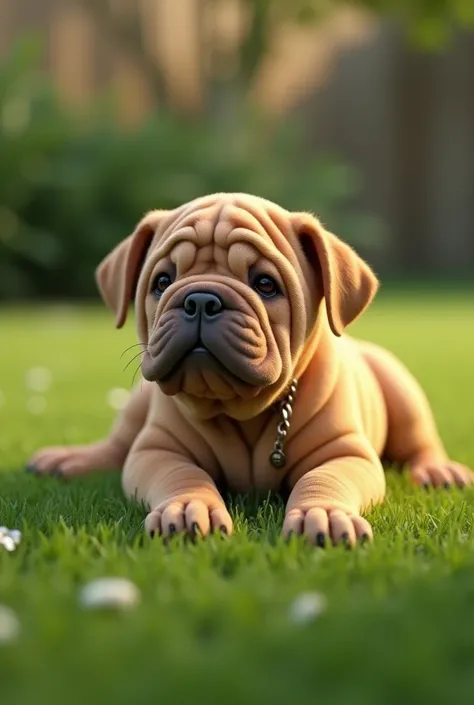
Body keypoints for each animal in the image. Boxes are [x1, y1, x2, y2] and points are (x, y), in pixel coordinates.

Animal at [26, 191, 474, 544]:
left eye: (265, 285)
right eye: (162, 281)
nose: (200, 299)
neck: (241, 411)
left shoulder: (344, 452)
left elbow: (322, 478)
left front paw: (325, 515)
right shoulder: (158, 450)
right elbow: (180, 475)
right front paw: (188, 507)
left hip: (400, 390)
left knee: (419, 440)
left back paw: (438, 470)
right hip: (137, 403)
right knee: (118, 444)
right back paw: (70, 460)